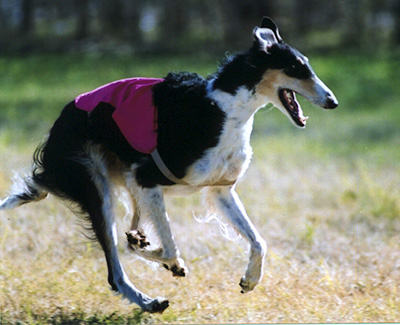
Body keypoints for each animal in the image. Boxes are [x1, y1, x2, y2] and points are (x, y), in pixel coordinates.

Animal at [0, 17, 338, 312]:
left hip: (124, 184)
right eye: (296, 68)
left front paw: (250, 279)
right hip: (97, 188)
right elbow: (172, 247)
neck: (223, 109)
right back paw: (149, 300)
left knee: (130, 238)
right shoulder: (147, 177)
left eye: (306, 65)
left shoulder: (219, 190)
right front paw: (169, 261)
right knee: (114, 270)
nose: (333, 101)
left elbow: (259, 242)